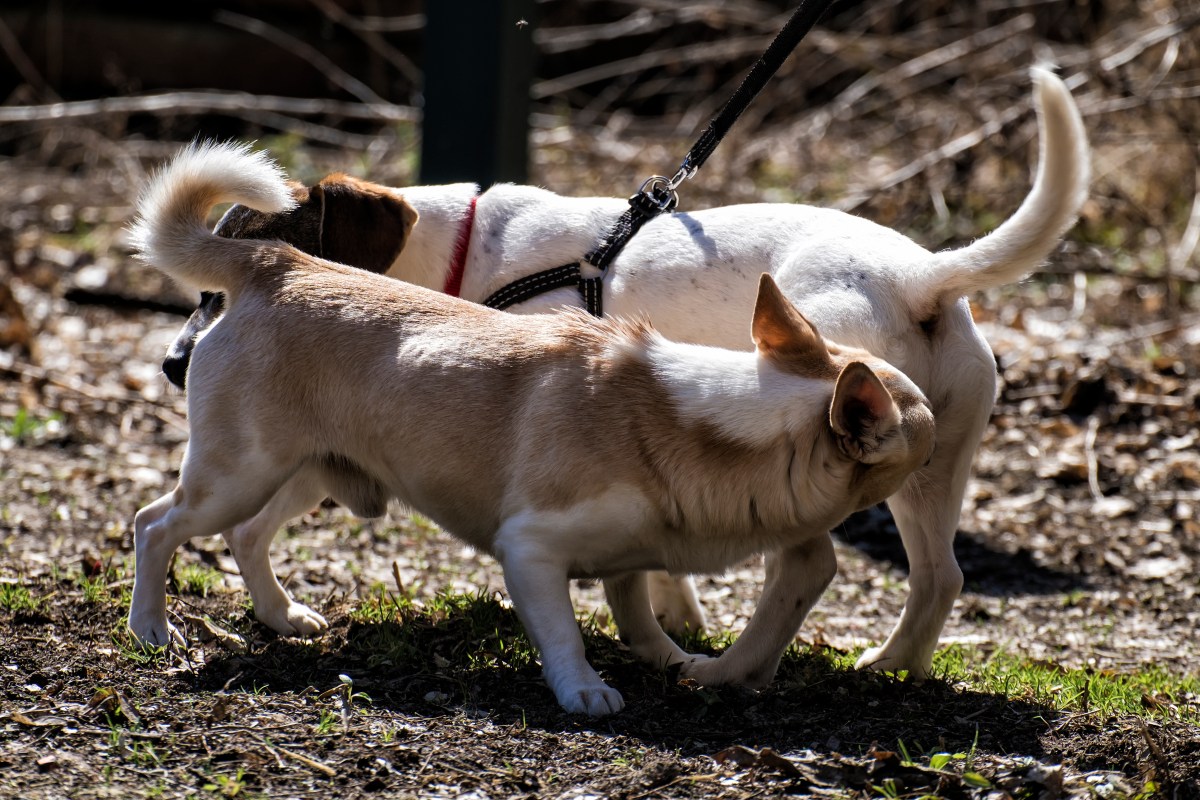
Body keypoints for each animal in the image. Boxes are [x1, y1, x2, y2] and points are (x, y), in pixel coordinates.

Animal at [129, 140, 936, 714]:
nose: (171, 364)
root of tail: (277, 264)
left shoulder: (631, 552)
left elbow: (638, 607)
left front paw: (668, 658)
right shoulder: (531, 550)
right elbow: (563, 628)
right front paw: (585, 689)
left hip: (307, 469)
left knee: (244, 534)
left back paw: (279, 614)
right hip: (240, 472)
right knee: (155, 524)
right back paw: (152, 629)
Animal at [164, 67, 1094, 676]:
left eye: (214, 293)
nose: (174, 367)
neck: (465, 251)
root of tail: (921, 276)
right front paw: (670, 613)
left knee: (817, 566)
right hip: (935, 466)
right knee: (940, 577)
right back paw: (890, 668)